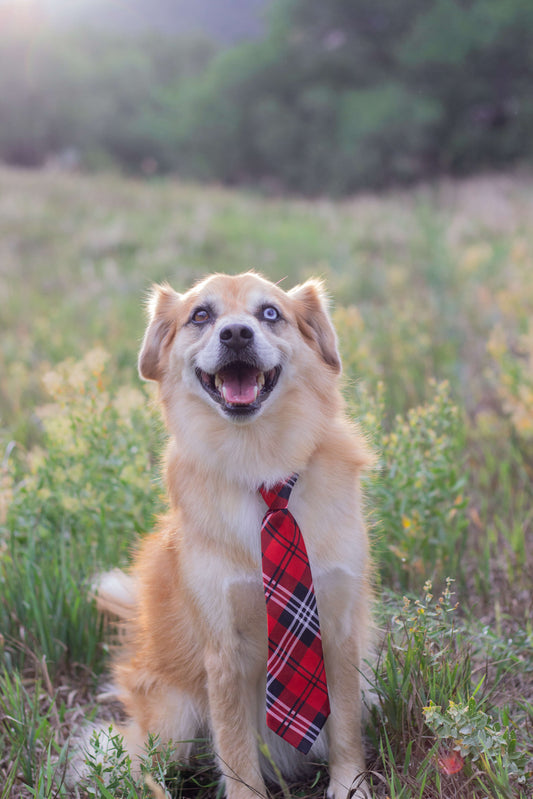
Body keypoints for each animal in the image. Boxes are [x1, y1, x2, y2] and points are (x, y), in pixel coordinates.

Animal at [94, 272, 370, 796]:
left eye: (270, 313)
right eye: (201, 315)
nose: (237, 334)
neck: (261, 465)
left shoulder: (340, 626)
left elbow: (346, 726)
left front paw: (350, 786)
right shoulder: (223, 649)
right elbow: (236, 746)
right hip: (175, 719)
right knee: (138, 763)